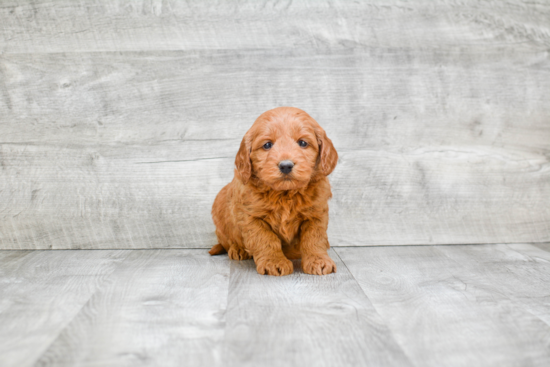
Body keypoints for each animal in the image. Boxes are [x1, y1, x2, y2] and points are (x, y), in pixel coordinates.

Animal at [211, 106, 340, 276]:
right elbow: (265, 239)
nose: (285, 165)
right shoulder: (251, 217)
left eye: (303, 143)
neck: (285, 194)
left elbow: (314, 238)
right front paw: (274, 262)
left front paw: (318, 260)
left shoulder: (316, 214)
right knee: (227, 242)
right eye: (267, 145)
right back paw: (238, 249)